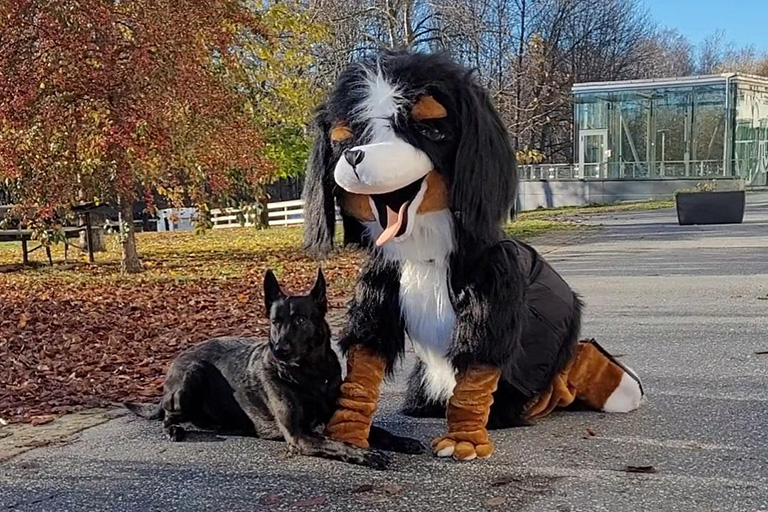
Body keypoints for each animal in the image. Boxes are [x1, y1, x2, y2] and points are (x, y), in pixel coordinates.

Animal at [127, 270, 426, 470]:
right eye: (275, 321)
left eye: (301, 320)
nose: (280, 349)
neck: (309, 375)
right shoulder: (299, 435)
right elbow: (340, 443)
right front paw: (364, 454)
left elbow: (379, 432)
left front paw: (401, 441)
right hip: (193, 374)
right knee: (168, 416)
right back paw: (174, 430)